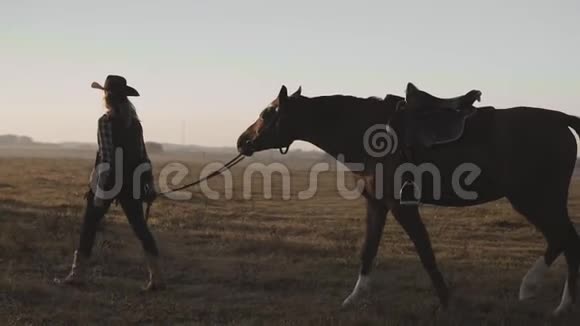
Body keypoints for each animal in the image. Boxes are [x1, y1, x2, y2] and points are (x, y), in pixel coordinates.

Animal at [236, 85, 580, 314]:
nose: (242, 141)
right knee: (564, 239)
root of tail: (559, 119)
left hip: (533, 198)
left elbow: (425, 251)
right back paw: (556, 301)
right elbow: (368, 250)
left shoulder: (400, 204)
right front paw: (354, 298)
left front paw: (446, 301)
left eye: (267, 113)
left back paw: (540, 292)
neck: (367, 132)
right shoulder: (376, 203)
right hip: (541, 200)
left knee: (564, 238)